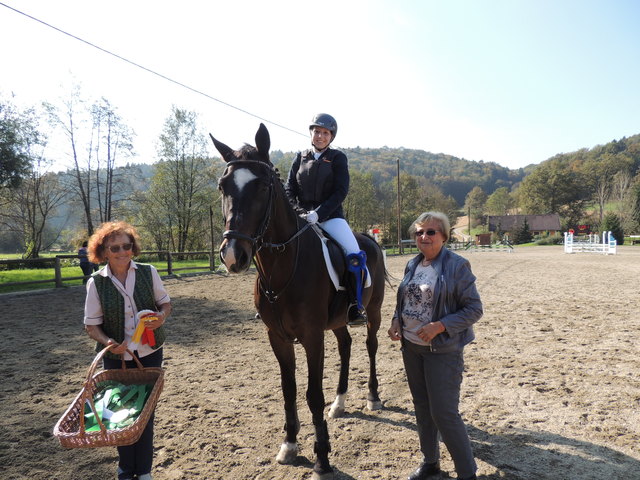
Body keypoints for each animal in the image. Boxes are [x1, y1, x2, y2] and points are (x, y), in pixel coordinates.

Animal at [212, 122, 388, 478]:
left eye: (263, 186)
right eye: (224, 186)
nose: (233, 255)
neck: (281, 270)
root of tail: (369, 239)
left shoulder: (311, 336)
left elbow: (312, 394)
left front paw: (322, 458)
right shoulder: (278, 337)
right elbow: (289, 389)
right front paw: (290, 445)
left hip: (372, 312)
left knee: (370, 346)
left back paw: (372, 397)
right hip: (337, 321)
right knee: (346, 346)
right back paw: (340, 403)